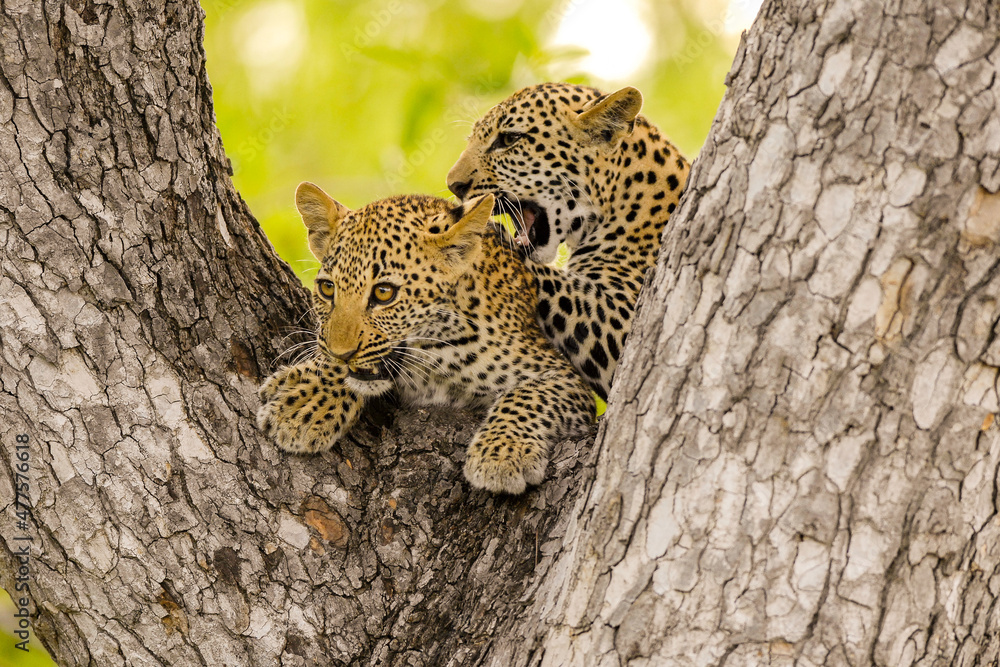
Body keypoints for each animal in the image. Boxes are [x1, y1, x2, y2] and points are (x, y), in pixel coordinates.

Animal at [256, 183, 592, 496]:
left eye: (384, 292)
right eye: (328, 289)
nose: (342, 354)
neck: (430, 359)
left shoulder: (563, 374)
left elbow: (527, 397)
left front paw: (502, 455)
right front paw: (306, 403)